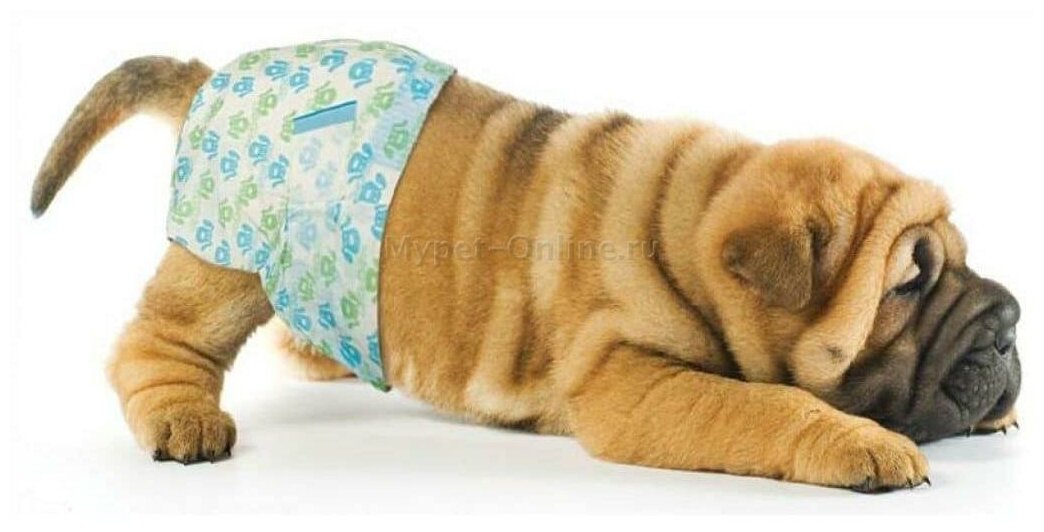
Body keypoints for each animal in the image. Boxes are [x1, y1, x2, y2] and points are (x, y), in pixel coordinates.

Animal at [30, 41, 1021, 492]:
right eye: (909, 281)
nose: (1012, 324)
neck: (690, 221)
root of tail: (213, 76)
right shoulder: (631, 381)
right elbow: (764, 404)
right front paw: (859, 443)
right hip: (222, 265)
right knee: (159, 342)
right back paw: (182, 418)